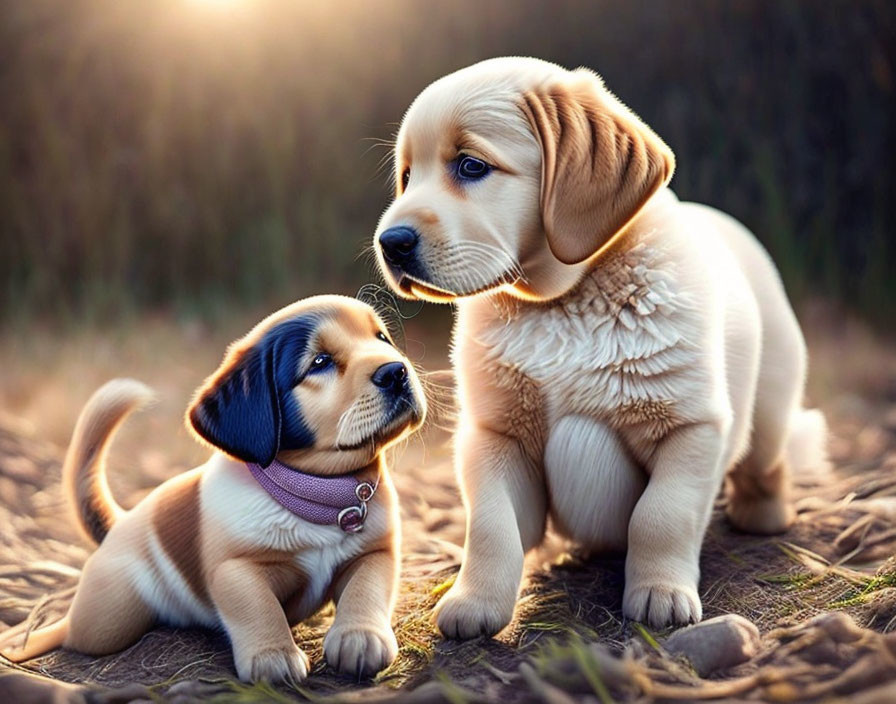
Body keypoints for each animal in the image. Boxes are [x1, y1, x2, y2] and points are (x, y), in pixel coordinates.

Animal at [0, 296, 428, 680]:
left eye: (382, 338)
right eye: (319, 362)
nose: (396, 371)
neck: (317, 495)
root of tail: (120, 524)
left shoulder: (375, 552)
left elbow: (366, 590)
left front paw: (360, 637)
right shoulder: (236, 570)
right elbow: (258, 608)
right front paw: (272, 656)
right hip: (109, 617)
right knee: (75, 631)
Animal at [370, 57, 824, 632]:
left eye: (471, 166)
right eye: (407, 177)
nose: (390, 243)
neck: (561, 302)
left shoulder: (691, 427)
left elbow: (662, 514)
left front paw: (659, 592)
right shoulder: (493, 434)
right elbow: (492, 526)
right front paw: (475, 602)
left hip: (770, 399)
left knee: (767, 460)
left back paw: (763, 514)